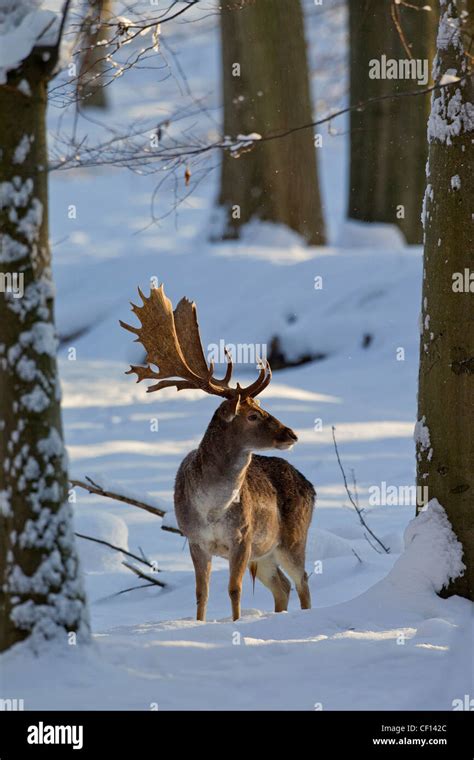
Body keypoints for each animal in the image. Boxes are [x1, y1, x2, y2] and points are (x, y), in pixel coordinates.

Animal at [120, 284, 316, 624]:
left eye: (262, 406)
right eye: (252, 415)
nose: (291, 434)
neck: (212, 508)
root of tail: (312, 487)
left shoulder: (242, 537)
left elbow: (234, 590)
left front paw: (235, 624)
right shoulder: (195, 540)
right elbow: (202, 593)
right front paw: (200, 624)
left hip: (292, 537)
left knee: (302, 581)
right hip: (267, 552)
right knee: (283, 586)